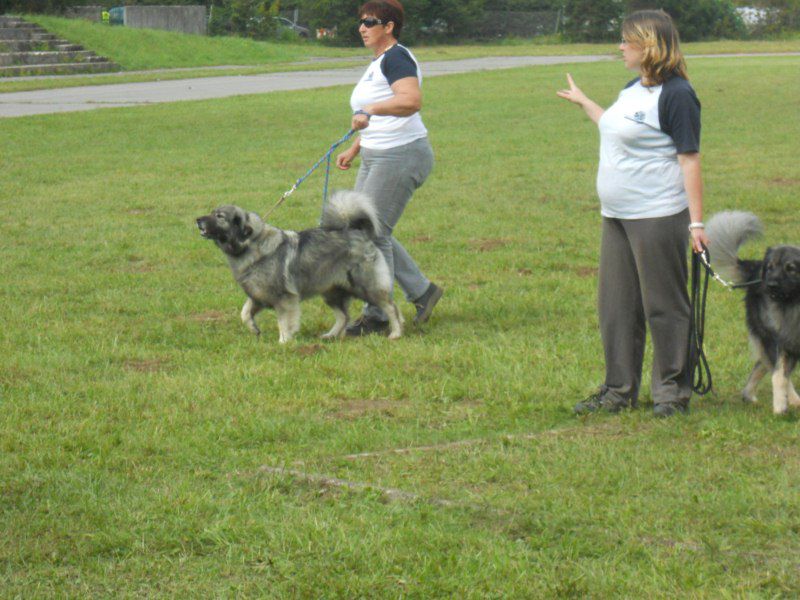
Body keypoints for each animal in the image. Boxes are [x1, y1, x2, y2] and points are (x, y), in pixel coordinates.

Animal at [197, 190, 404, 344]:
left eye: (219, 216)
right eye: (212, 212)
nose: (198, 220)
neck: (251, 244)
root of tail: (358, 232)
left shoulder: (283, 298)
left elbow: (283, 321)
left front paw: (284, 341)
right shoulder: (257, 296)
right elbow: (245, 313)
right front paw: (254, 329)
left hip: (366, 286)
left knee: (391, 307)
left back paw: (396, 333)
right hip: (331, 292)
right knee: (343, 316)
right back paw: (330, 335)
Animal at [708, 210, 800, 412]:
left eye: (791, 269)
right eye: (771, 268)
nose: (770, 285)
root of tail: (756, 268)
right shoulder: (782, 341)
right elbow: (780, 375)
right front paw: (780, 406)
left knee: (763, 364)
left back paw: (749, 395)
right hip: (770, 335)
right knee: (774, 369)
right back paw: (787, 401)